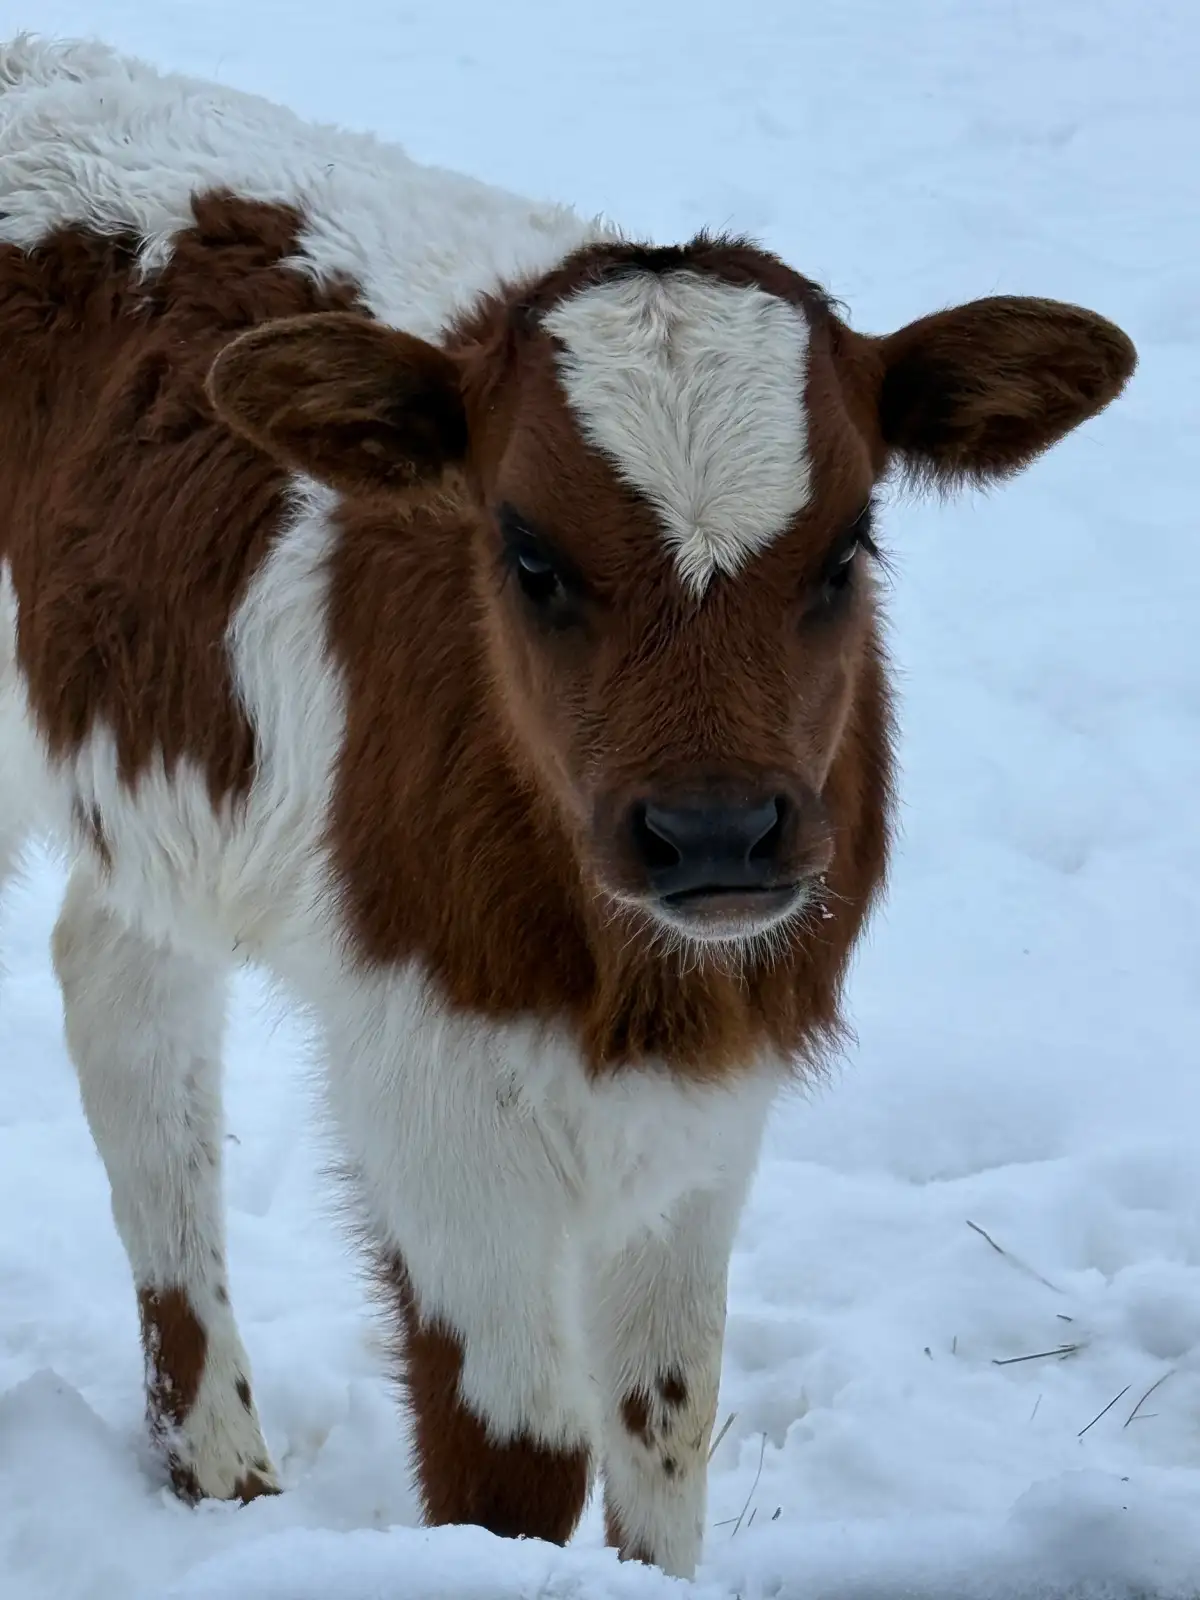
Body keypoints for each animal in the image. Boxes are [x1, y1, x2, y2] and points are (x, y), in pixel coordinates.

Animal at [0, 34, 1135, 1579]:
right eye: (527, 552)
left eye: (849, 544)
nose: (716, 832)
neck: (620, 976)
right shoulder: (428, 1075)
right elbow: (515, 1463)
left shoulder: (719, 1076)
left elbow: (665, 1433)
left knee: (123, 994)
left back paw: (221, 1465)